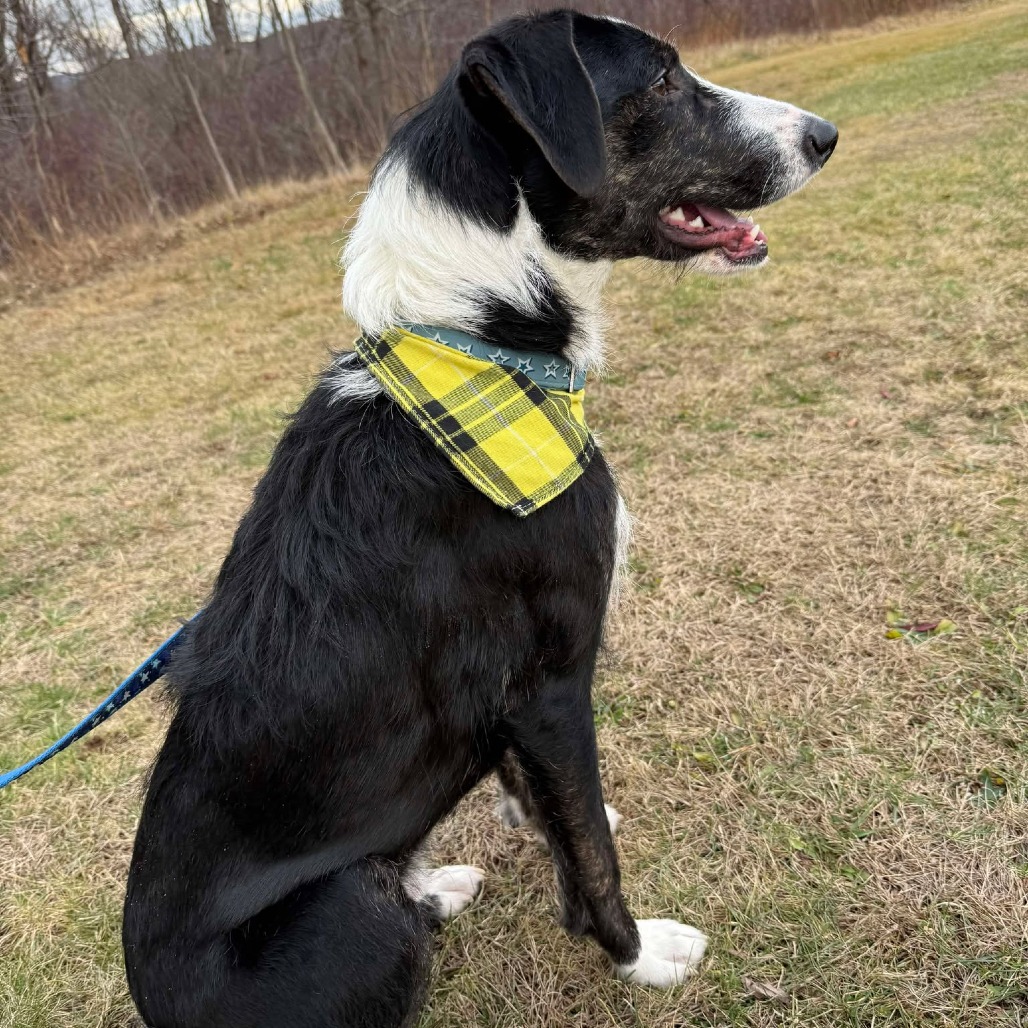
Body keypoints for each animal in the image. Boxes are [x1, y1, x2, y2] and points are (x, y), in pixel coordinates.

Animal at [124, 10, 838, 1028]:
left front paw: (547, 824)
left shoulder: (516, 701)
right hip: (352, 904)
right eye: (662, 79)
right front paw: (637, 955)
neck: (481, 343)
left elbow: (552, 806)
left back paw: (437, 882)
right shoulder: (551, 681)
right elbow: (592, 860)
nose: (824, 136)